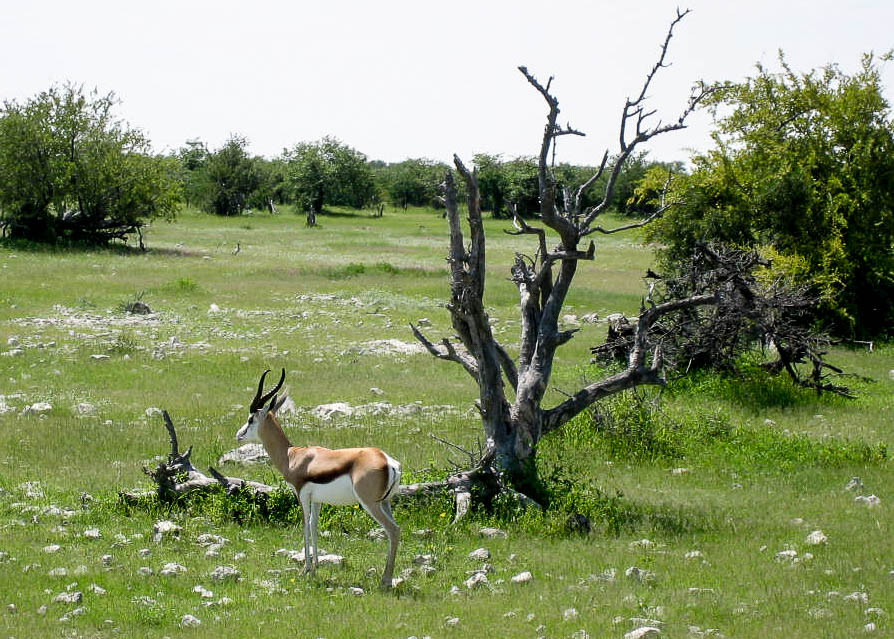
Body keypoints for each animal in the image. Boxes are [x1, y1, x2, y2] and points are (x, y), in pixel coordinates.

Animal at [234, 368, 402, 588]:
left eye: (251, 419)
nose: (239, 435)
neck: (292, 456)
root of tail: (387, 461)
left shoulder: (301, 495)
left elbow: (305, 526)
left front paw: (305, 569)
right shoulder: (317, 499)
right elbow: (314, 527)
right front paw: (315, 568)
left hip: (370, 504)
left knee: (393, 530)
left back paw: (385, 581)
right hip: (385, 502)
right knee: (396, 530)